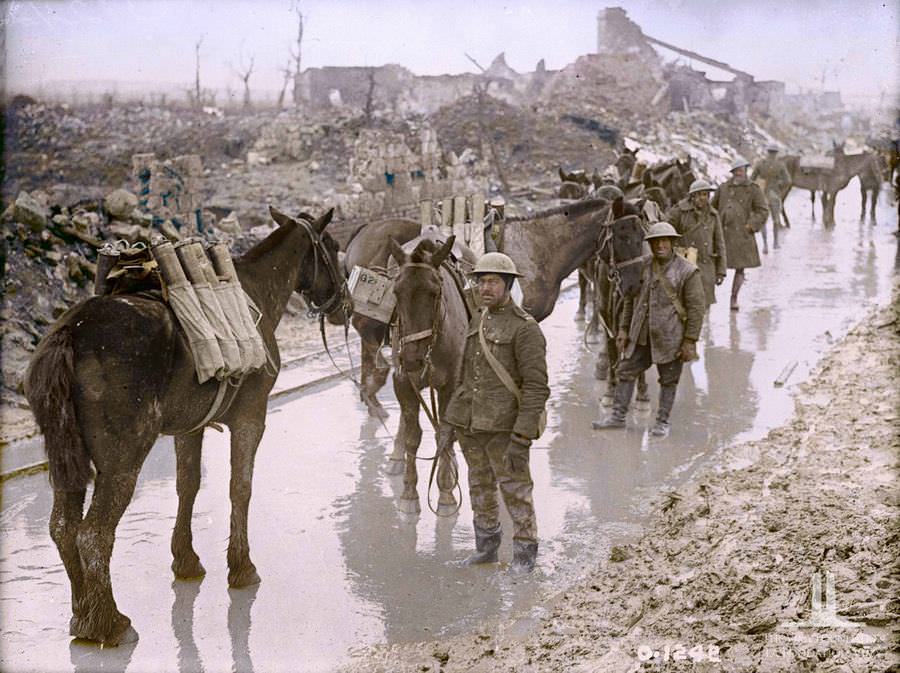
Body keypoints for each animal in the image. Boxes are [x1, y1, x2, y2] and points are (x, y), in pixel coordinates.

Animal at [22, 206, 344, 644]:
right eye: (335, 247)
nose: (344, 303)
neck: (256, 290)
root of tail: (68, 335)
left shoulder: (189, 428)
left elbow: (187, 486)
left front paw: (186, 560)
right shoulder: (252, 416)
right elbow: (240, 487)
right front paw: (241, 567)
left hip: (66, 461)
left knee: (62, 527)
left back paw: (82, 614)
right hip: (122, 461)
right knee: (93, 534)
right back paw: (109, 623)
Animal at [384, 236, 468, 516]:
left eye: (434, 293)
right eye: (396, 292)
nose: (412, 359)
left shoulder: (450, 386)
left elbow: (445, 434)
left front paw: (446, 492)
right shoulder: (403, 382)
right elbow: (413, 436)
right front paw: (409, 493)